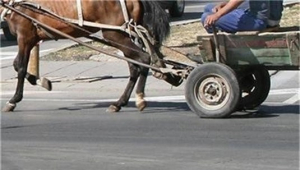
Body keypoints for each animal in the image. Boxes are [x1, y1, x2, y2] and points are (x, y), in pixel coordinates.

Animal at [1, 0, 182, 113]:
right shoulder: (31, 39)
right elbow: (17, 65)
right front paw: (43, 82)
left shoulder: (25, 37)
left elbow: (21, 67)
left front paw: (14, 100)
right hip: (122, 35)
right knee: (134, 66)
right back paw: (119, 103)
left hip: (114, 34)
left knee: (143, 59)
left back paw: (139, 98)